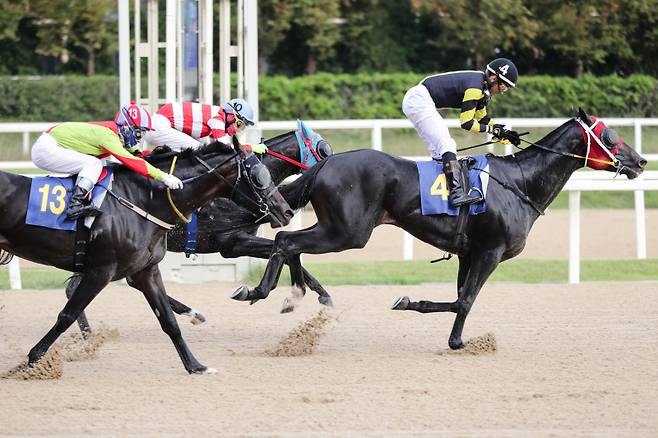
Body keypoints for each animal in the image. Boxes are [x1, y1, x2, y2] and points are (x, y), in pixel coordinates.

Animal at [0, 139, 290, 372]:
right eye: (258, 176)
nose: (286, 211)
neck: (144, 200)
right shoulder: (100, 270)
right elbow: (67, 315)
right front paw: (33, 359)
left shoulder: (146, 270)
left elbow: (169, 321)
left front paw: (196, 366)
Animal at [232, 110, 644, 352]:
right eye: (610, 137)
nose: (640, 161)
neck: (519, 183)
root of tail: (324, 164)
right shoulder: (490, 253)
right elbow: (465, 300)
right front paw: (427, 317)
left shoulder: (469, 253)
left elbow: (462, 297)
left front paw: (451, 334)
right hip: (348, 233)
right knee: (285, 240)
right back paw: (265, 290)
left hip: (337, 227)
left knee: (290, 244)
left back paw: (291, 294)